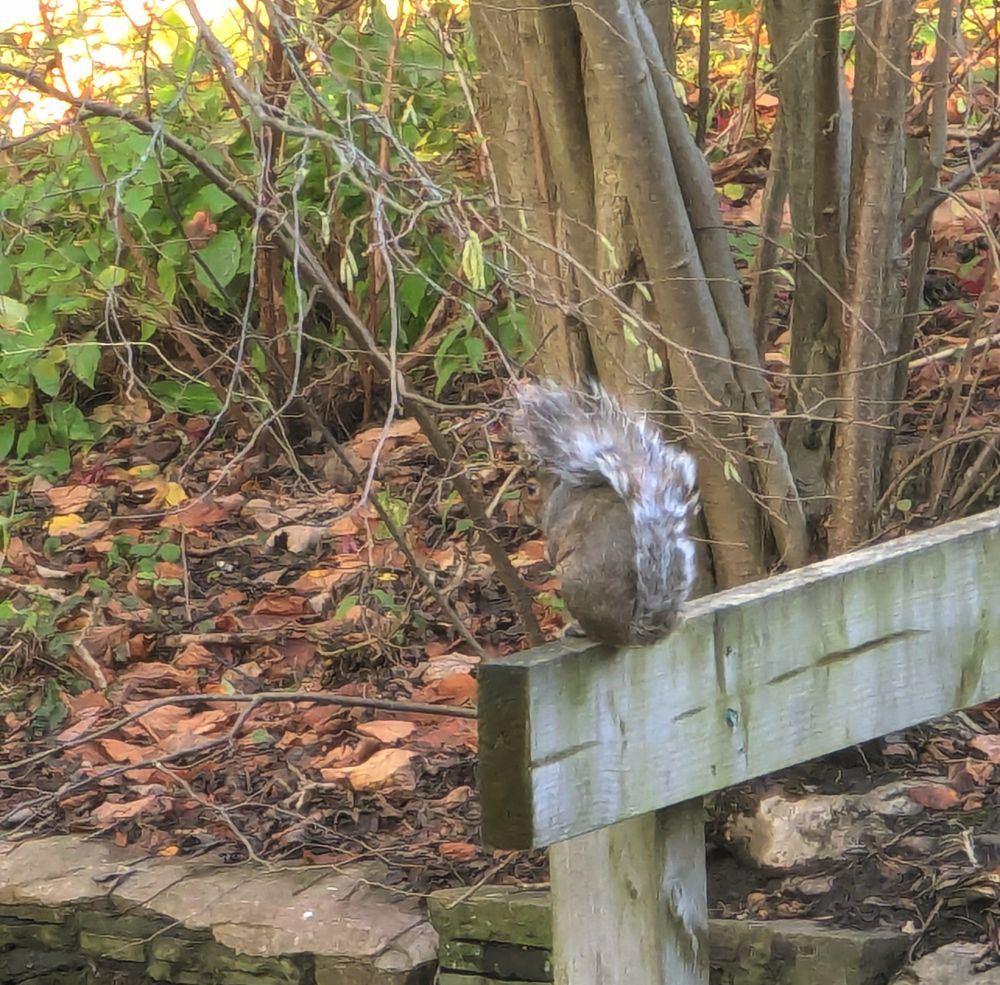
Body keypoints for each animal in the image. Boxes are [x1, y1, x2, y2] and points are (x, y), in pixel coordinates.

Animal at [511, 379, 698, 647]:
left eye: (531, 489)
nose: (520, 514)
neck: (561, 487)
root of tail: (628, 632)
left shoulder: (559, 516)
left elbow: (554, 543)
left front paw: (546, 552)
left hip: (572, 582)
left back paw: (576, 629)